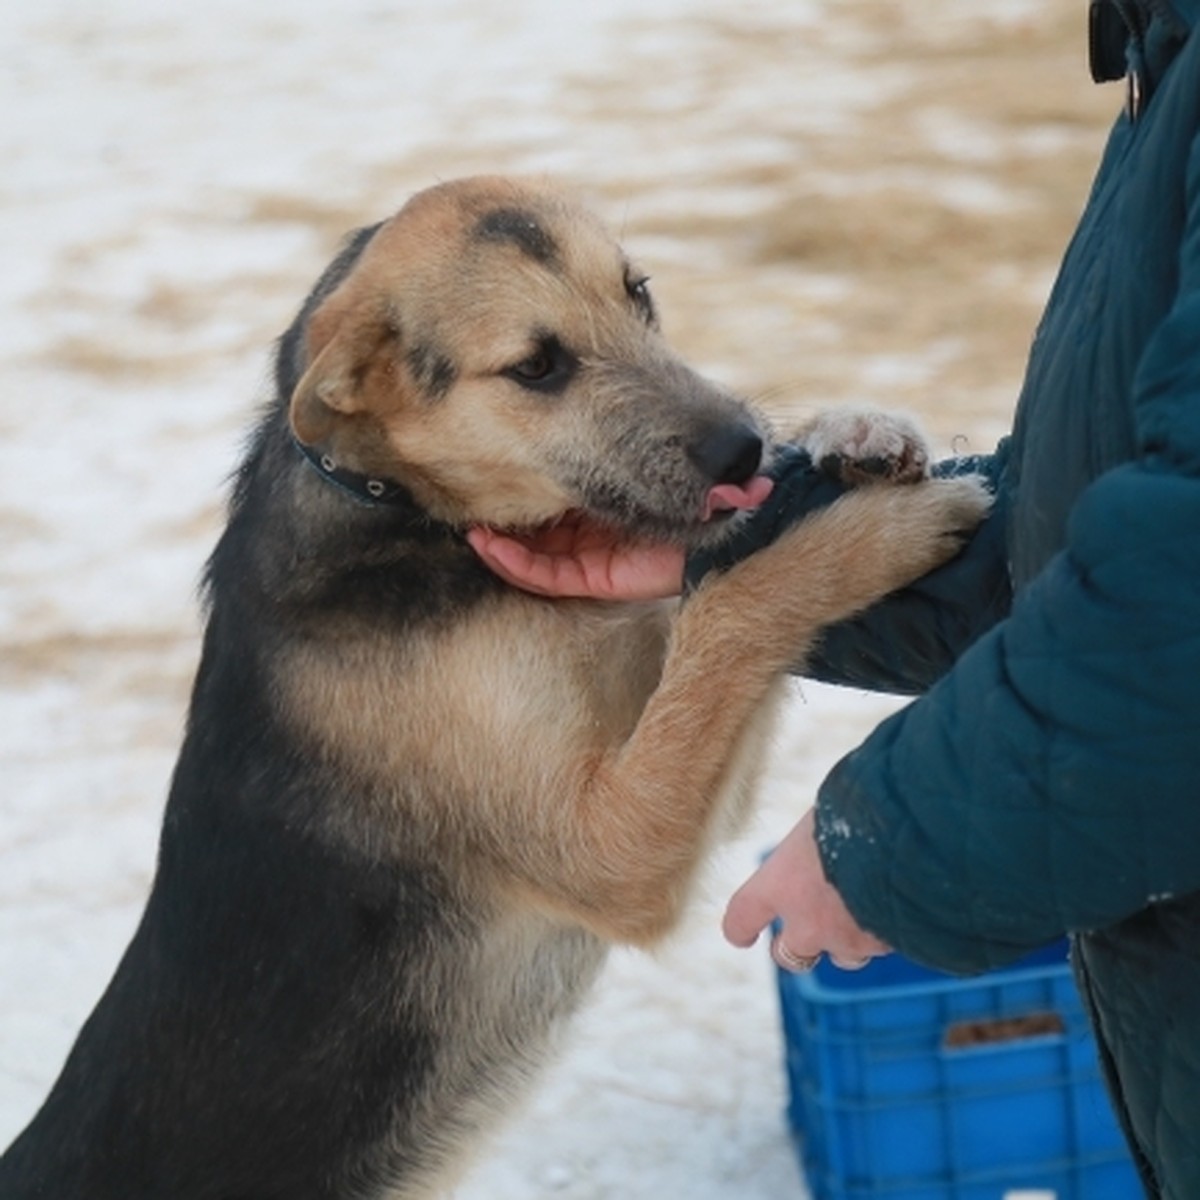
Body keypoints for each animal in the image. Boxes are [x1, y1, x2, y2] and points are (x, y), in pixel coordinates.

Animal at [0, 174, 988, 1195]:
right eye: (537, 367)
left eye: (638, 292)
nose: (744, 450)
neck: (407, 515)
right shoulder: (613, 843)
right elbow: (732, 611)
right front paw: (865, 536)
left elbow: (704, 621)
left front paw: (852, 433)